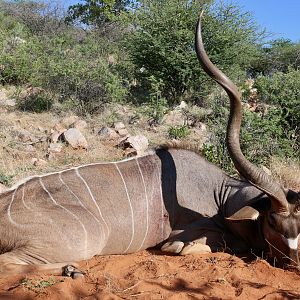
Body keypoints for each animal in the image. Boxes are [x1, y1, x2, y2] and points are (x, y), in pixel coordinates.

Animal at [0, 17, 300, 278]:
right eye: (272, 222)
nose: (295, 265)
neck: (220, 196)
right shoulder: (189, 233)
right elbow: (193, 247)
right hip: (83, 240)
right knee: (8, 263)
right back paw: (71, 269)